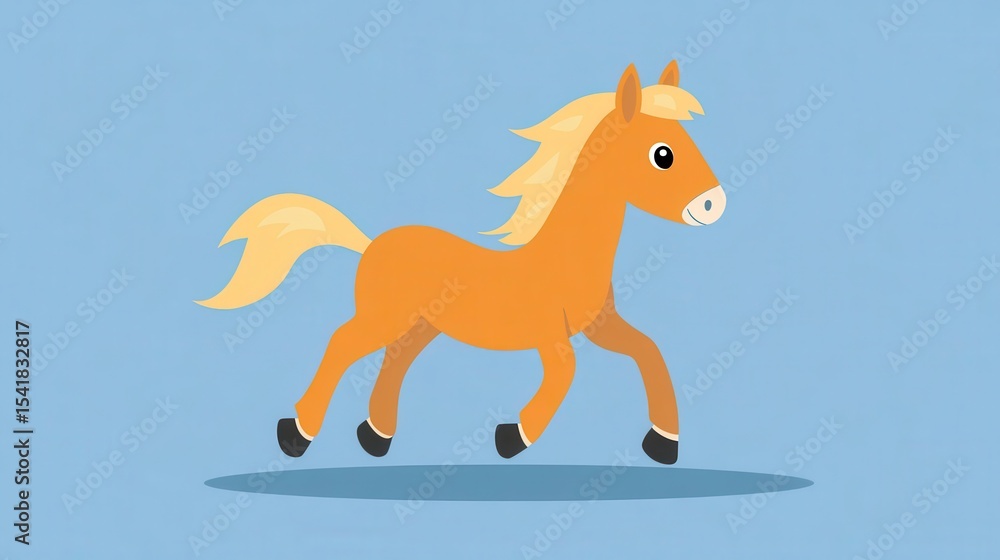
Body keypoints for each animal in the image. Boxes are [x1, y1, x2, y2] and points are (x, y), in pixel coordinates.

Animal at [197, 60, 726, 464]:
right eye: (663, 155)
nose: (713, 204)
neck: (567, 257)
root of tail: (370, 244)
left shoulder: (600, 324)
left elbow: (649, 351)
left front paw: (664, 442)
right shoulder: (549, 333)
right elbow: (566, 374)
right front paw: (512, 437)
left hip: (421, 325)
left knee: (395, 359)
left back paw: (375, 436)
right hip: (384, 316)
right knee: (342, 344)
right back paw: (296, 434)